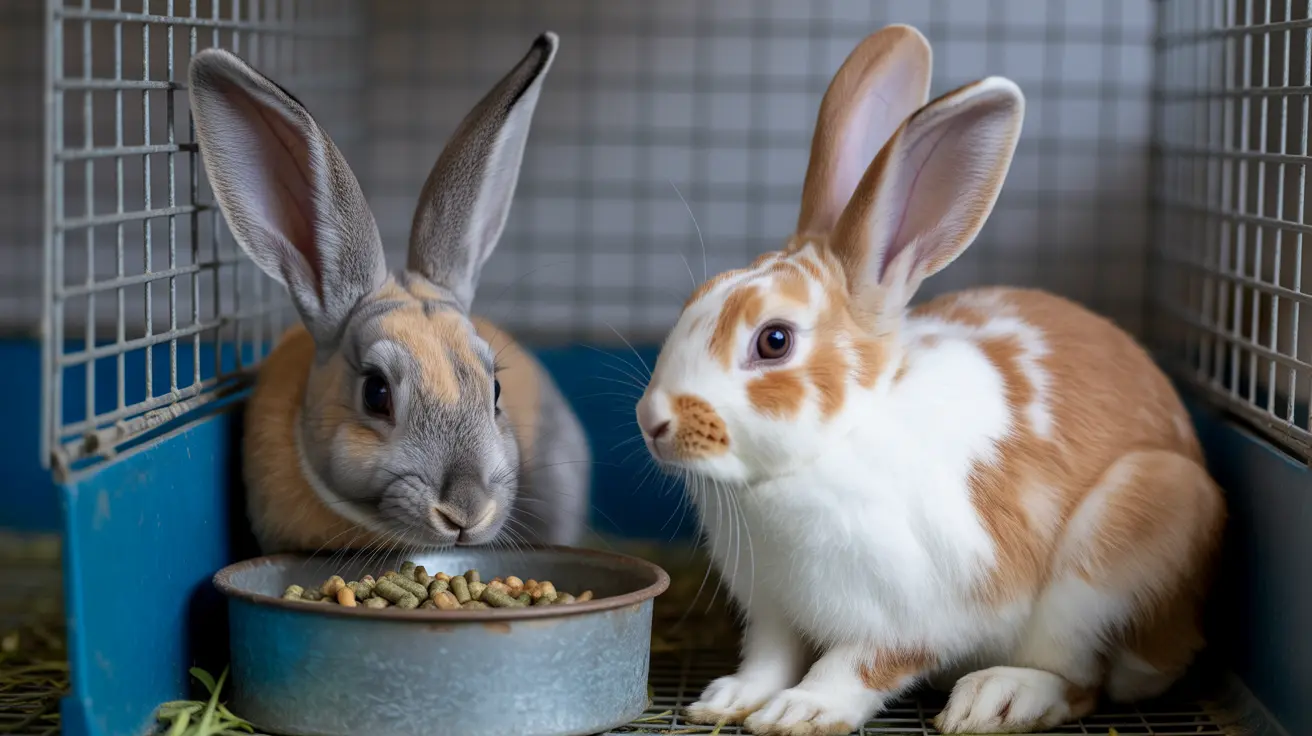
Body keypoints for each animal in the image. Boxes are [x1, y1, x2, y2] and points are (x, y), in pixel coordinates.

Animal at [634, 24, 1226, 736]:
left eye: (774, 340)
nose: (651, 420)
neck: (822, 453)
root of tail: (1186, 634)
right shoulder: (774, 611)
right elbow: (768, 658)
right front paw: (727, 700)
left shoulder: (910, 618)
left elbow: (854, 665)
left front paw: (800, 710)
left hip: (1116, 552)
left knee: (1078, 681)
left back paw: (994, 699)